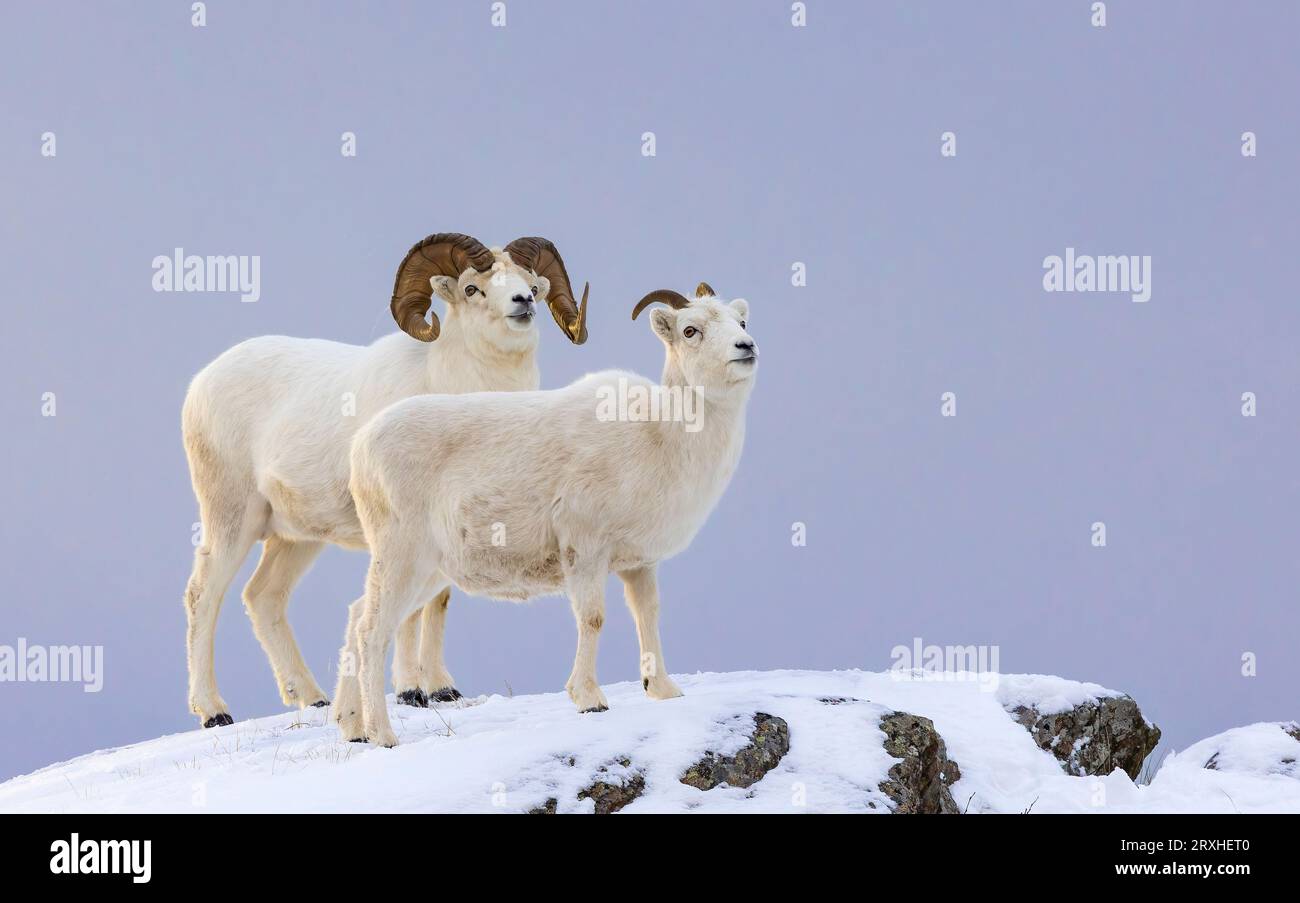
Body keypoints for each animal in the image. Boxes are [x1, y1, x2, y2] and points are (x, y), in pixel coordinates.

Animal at [180, 233, 590, 728]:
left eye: (531, 283)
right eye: (472, 288)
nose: (522, 303)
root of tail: (201, 383)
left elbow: (436, 604)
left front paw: (442, 689)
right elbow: (408, 615)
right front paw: (412, 690)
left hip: (296, 539)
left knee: (263, 597)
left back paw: (313, 699)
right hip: (231, 519)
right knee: (204, 595)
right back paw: (214, 711)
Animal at [334, 282, 757, 747]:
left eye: (740, 322)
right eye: (690, 330)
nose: (746, 347)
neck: (663, 435)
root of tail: (360, 448)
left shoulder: (639, 564)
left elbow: (647, 616)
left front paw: (663, 690)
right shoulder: (585, 551)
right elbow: (593, 618)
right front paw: (589, 699)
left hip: (425, 571)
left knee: (357, 616)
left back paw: (352, 729)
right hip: (404, 559)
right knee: (372, 633)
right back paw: (383, 736)